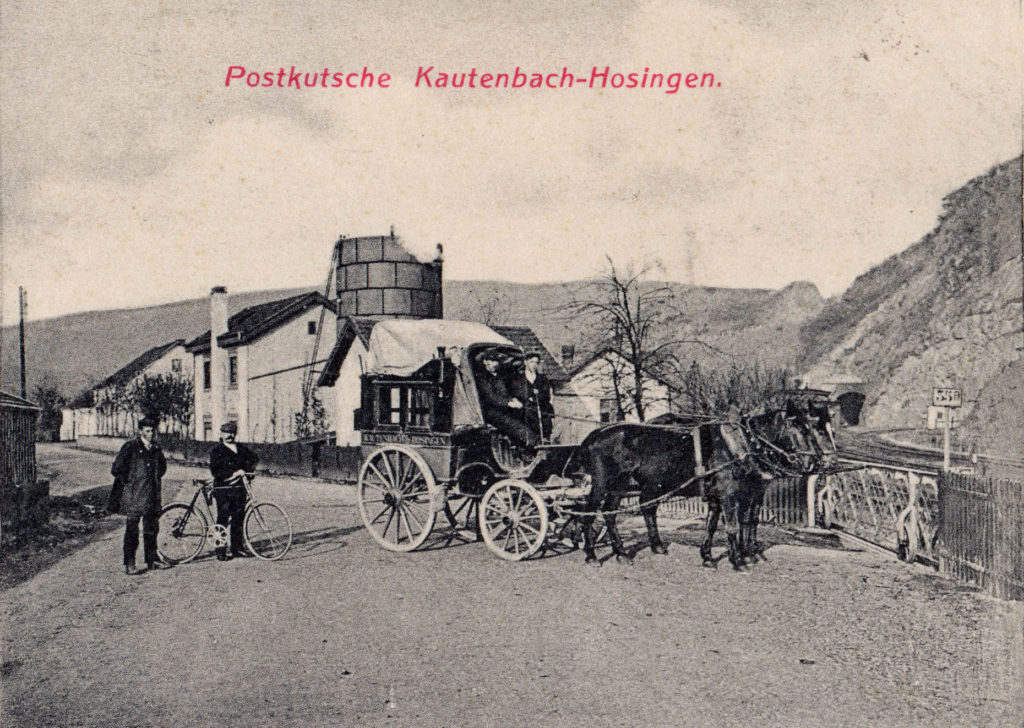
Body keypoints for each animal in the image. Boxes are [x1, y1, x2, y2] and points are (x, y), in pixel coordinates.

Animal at [573, 403, 835, 569]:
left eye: (811, 429)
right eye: (800, 429)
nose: (817, 461)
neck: (741, 444)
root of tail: (596, 434)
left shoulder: (737, 493)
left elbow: (720, 524)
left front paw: (711, 556)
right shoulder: (730, 494)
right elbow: (733, 525)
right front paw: (739, 560)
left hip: (622, 486)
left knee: (612, 513)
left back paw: (623, 553)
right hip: (601, 484)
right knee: (589, 513)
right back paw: (591, 555)